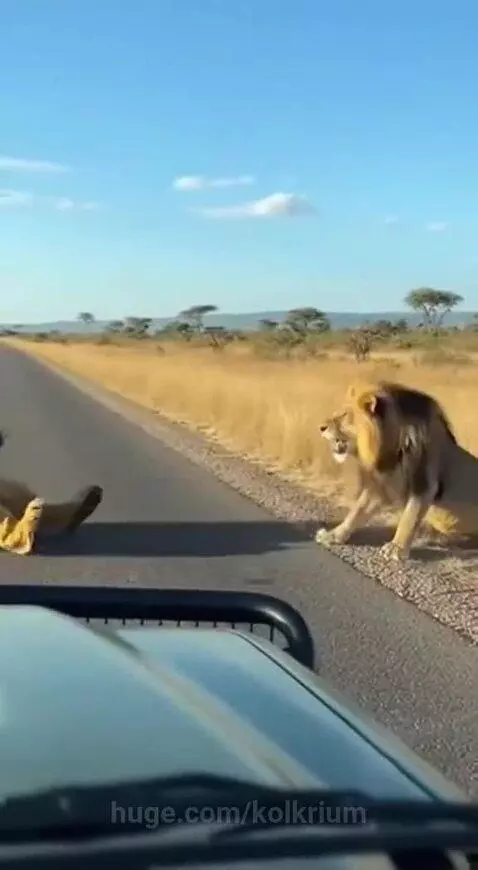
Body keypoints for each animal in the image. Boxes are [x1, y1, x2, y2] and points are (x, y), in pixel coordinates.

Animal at [315, 379, 478, 561]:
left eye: (343, 415)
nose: (321, 427)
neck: (388, 447)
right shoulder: (382, 484)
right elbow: (357, 511)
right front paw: (333, 535)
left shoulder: (423, 483)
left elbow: (410, 517)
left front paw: (396, 549)